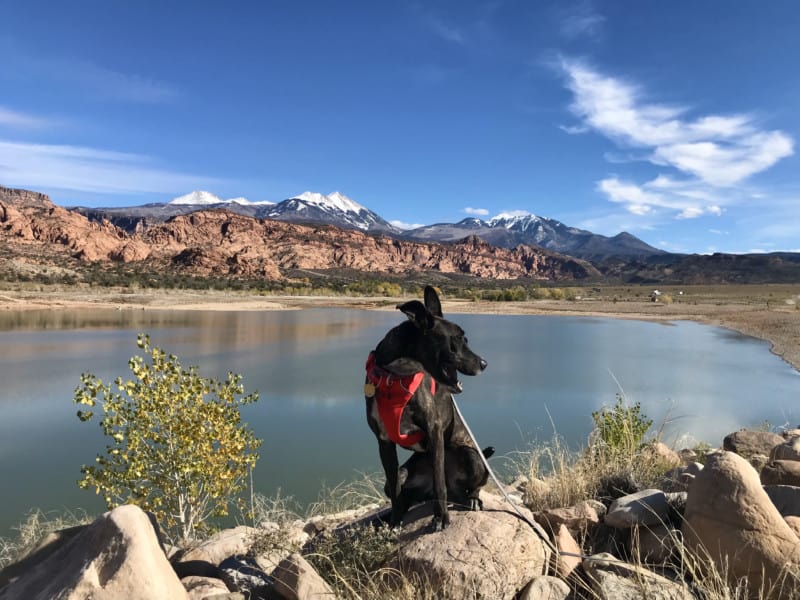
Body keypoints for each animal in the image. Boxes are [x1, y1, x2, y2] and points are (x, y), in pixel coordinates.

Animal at [364, 286, 488, 528]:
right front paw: (395, 521)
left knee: (465, 489)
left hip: (472, 456)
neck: (396, 378)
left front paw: (441, 518)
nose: (484, 364)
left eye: (466, 338)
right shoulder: (383, 441)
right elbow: (394, 489)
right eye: (456, 340)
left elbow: (440, 482)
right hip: (407, 472)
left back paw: (472, 500)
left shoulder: (434, 430)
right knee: (407, 491)